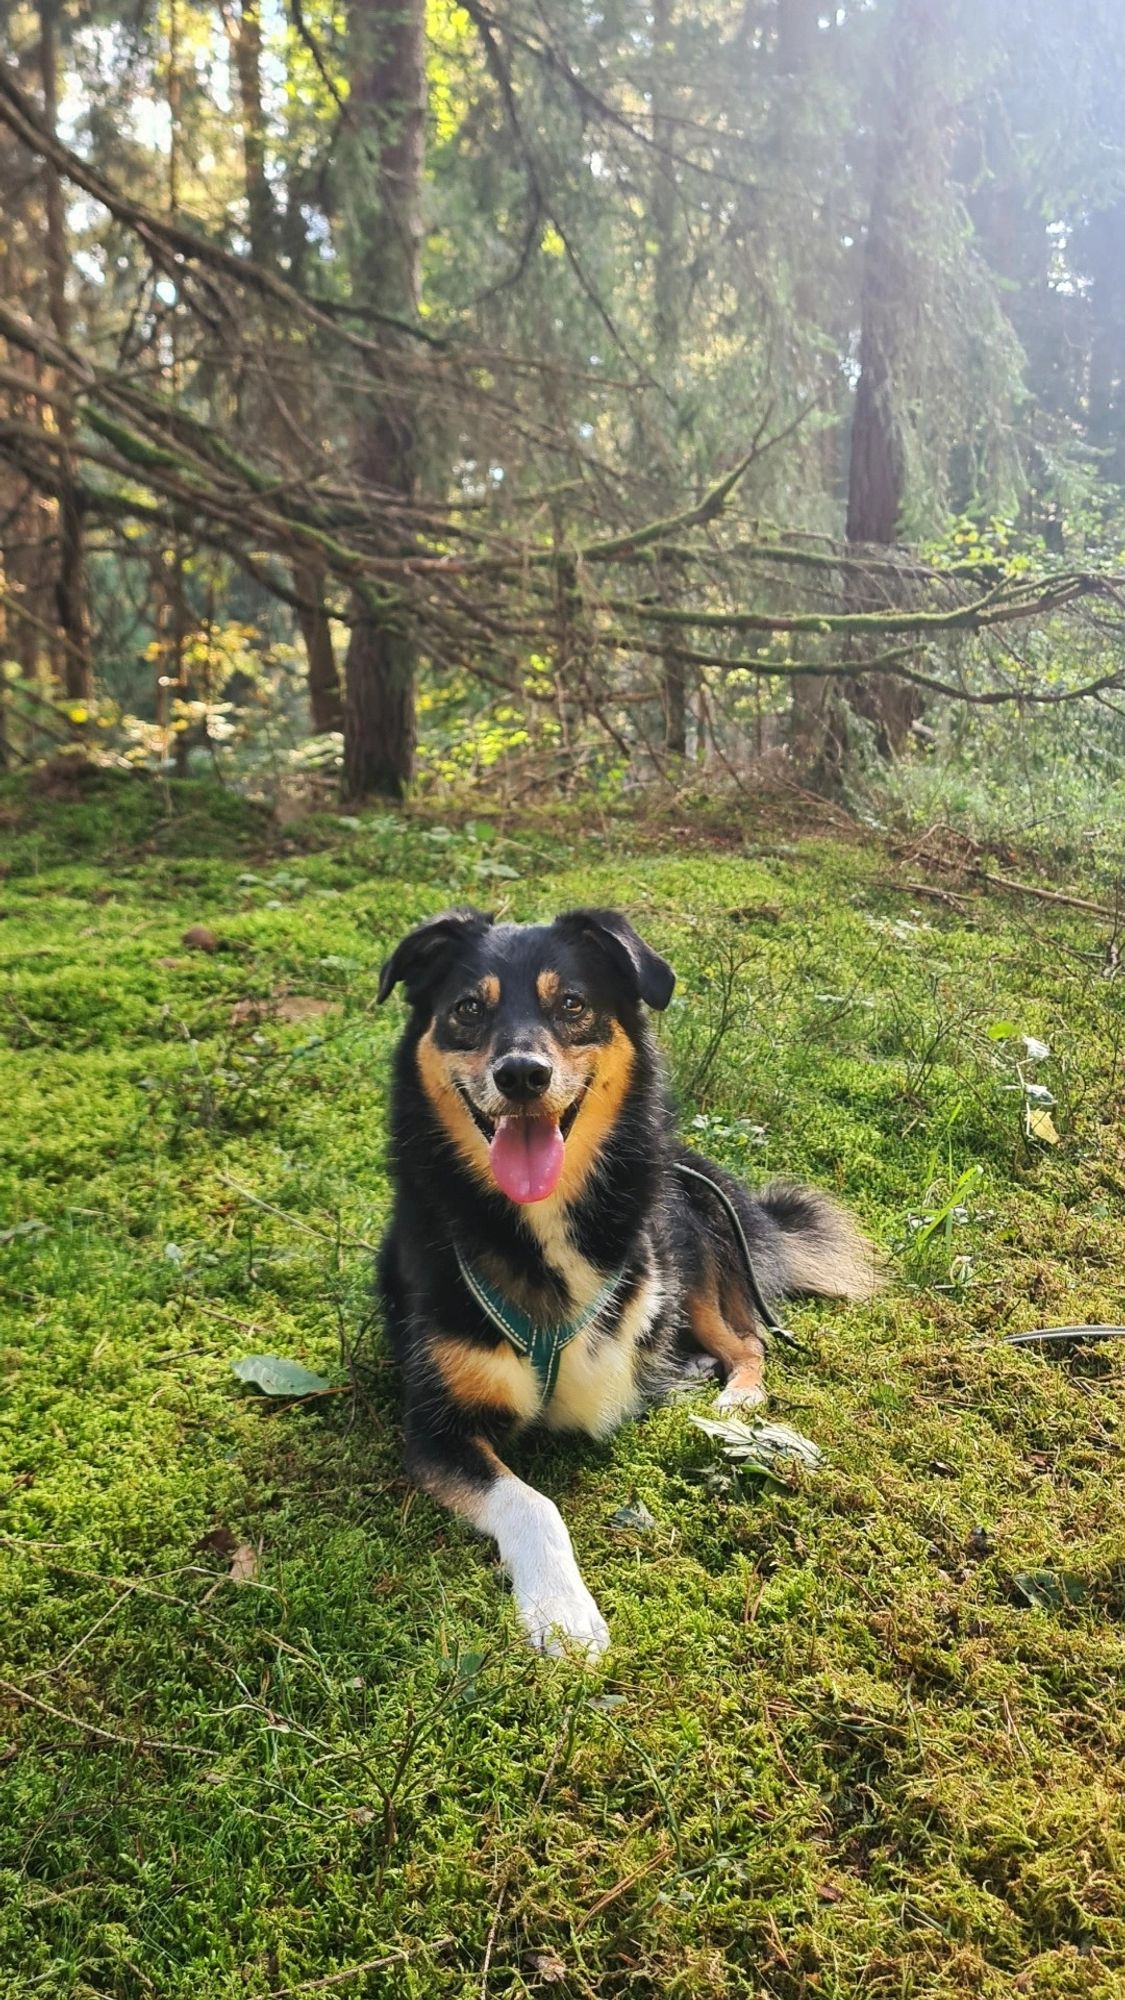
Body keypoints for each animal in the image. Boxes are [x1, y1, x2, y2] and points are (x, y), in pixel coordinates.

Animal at [378, 908, 876, 1656]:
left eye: (571, 1004)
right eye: (467, 1009)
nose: (521, 1074)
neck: (536, 1223)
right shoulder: (436, 1427)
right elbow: (530, 1500)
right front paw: (562, 1608)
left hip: (692, 1247)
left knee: (749, 1342)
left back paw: (734, 1397)